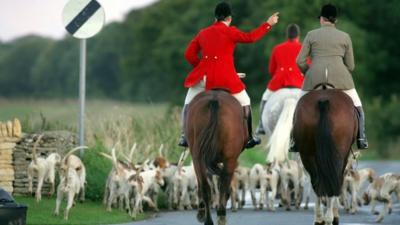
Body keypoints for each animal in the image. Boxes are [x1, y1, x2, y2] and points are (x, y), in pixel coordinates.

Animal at [185, 89, 247, 225]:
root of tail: (214, 100)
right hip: (229, 159)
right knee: (222, 184)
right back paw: (220, 215)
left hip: (198, 158)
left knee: (206, 187)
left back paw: (209, 219)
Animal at [292, 88, 358, 225]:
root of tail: (323, 101)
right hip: (337, 156)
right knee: (333, 180)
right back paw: (329, 217)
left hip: (307, 155)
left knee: (317, 182)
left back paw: (320, 218)